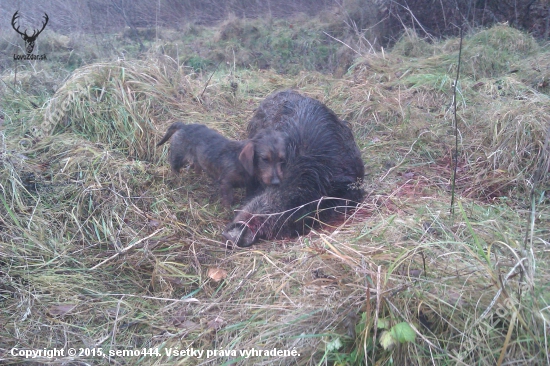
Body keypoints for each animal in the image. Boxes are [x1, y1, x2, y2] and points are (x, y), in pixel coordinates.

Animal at [155, 121, 284, 204]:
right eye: (265, 159)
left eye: (281, 159)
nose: (276, 182)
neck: (240, 163)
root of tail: (184, 126)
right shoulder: (226, 183)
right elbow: (228, 200)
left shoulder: (250, 186)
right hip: (178, 157)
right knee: (174, 167)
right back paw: (176, 179)